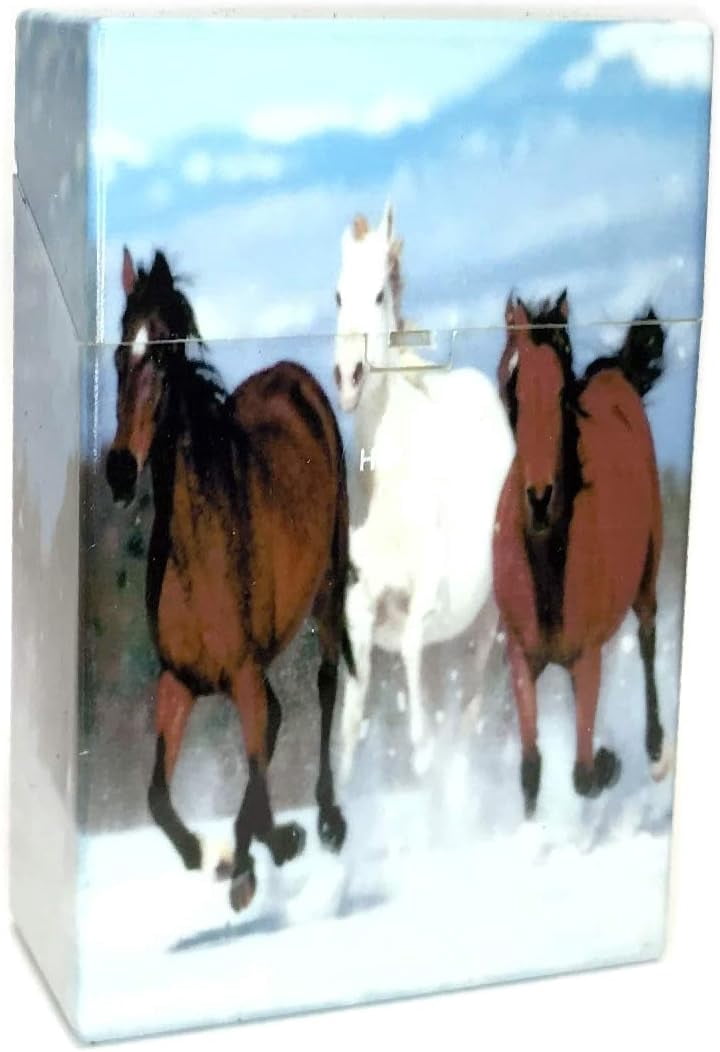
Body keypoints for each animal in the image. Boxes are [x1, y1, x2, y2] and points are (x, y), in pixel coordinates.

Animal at [105, 247, 354, 912]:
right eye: (119, 354)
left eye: (163, 355)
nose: (118, 470)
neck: (200, 554)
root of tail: (294, 375)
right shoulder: (179, 680)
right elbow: (157, 797)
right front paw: (211, 855)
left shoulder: (241, 673)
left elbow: (261, 781)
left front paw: (269, 848)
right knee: (278, 718)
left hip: (328, 591)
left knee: (324, 687)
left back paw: (326, 820)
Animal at [334, 204, 515, 777]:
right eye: (338, 295)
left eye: (379, 295)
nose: (348, 377)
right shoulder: (359, 606)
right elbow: (351, 719)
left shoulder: (430, 597)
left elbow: (411, 649)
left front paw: (422, 751)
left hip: (486, 620)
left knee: (469, 697)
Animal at [493, 292, 673, 818]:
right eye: (511, 382)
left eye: (560, 391)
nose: (538, 499)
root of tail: (615, 375)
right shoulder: (521, 655)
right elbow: (531, 768)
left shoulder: (588, 657)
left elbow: (583, 773)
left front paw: (610, 761)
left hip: (648, 572)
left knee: (648, 634)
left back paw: (655, 748)